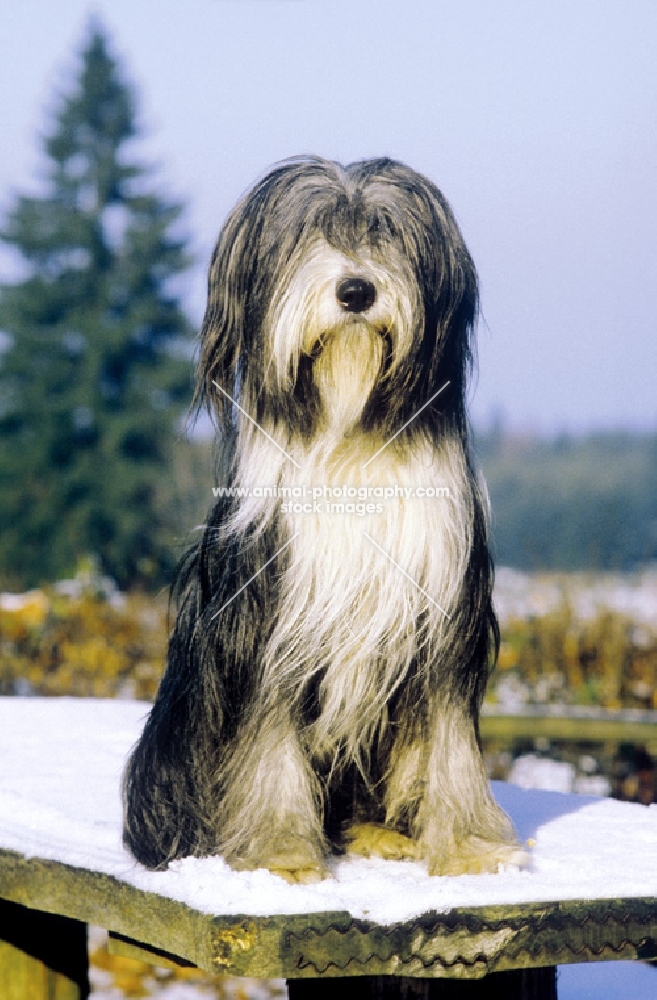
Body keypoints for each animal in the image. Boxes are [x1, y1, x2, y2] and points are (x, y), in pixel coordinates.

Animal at [121, 156, 524, 884]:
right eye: (310, 234)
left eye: (386, 232)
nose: (357, 290)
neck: (349, 441)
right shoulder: (269, 621)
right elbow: (268, 743)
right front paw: (281, 855)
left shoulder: (442, 615)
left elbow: (448, 743)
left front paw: (469, 849)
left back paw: (384, 834)